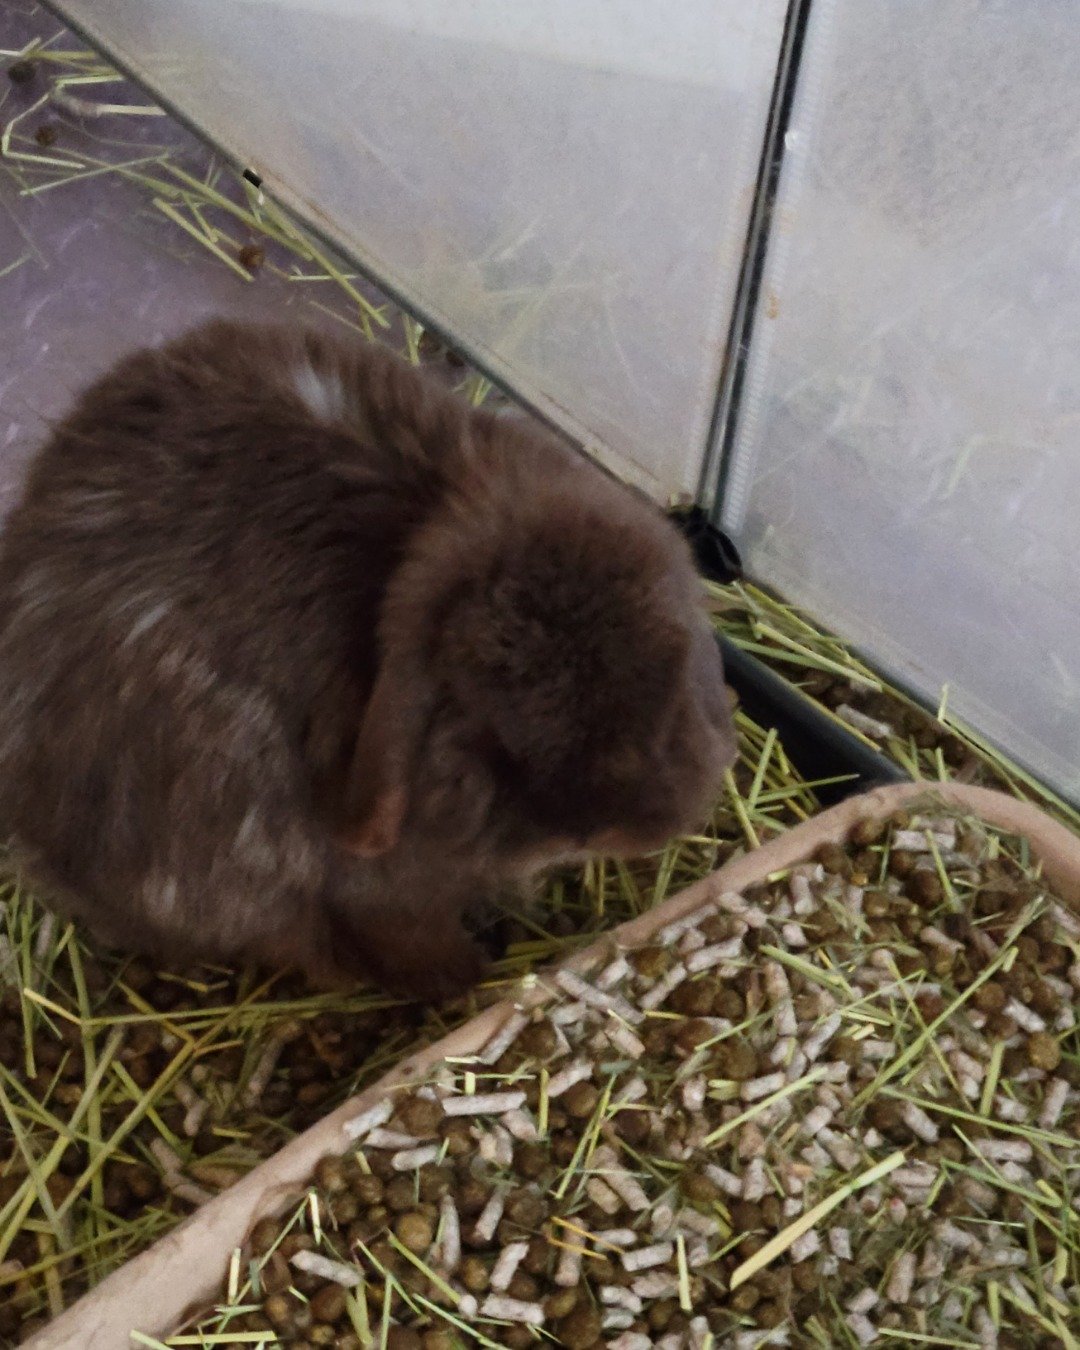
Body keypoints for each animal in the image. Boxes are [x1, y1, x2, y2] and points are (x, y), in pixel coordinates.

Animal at [0, 318, 737, 1001]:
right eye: (496, 738)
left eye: (669, 693)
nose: (624, 830)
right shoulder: (383, 889)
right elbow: (405, 930)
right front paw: (465, 979)